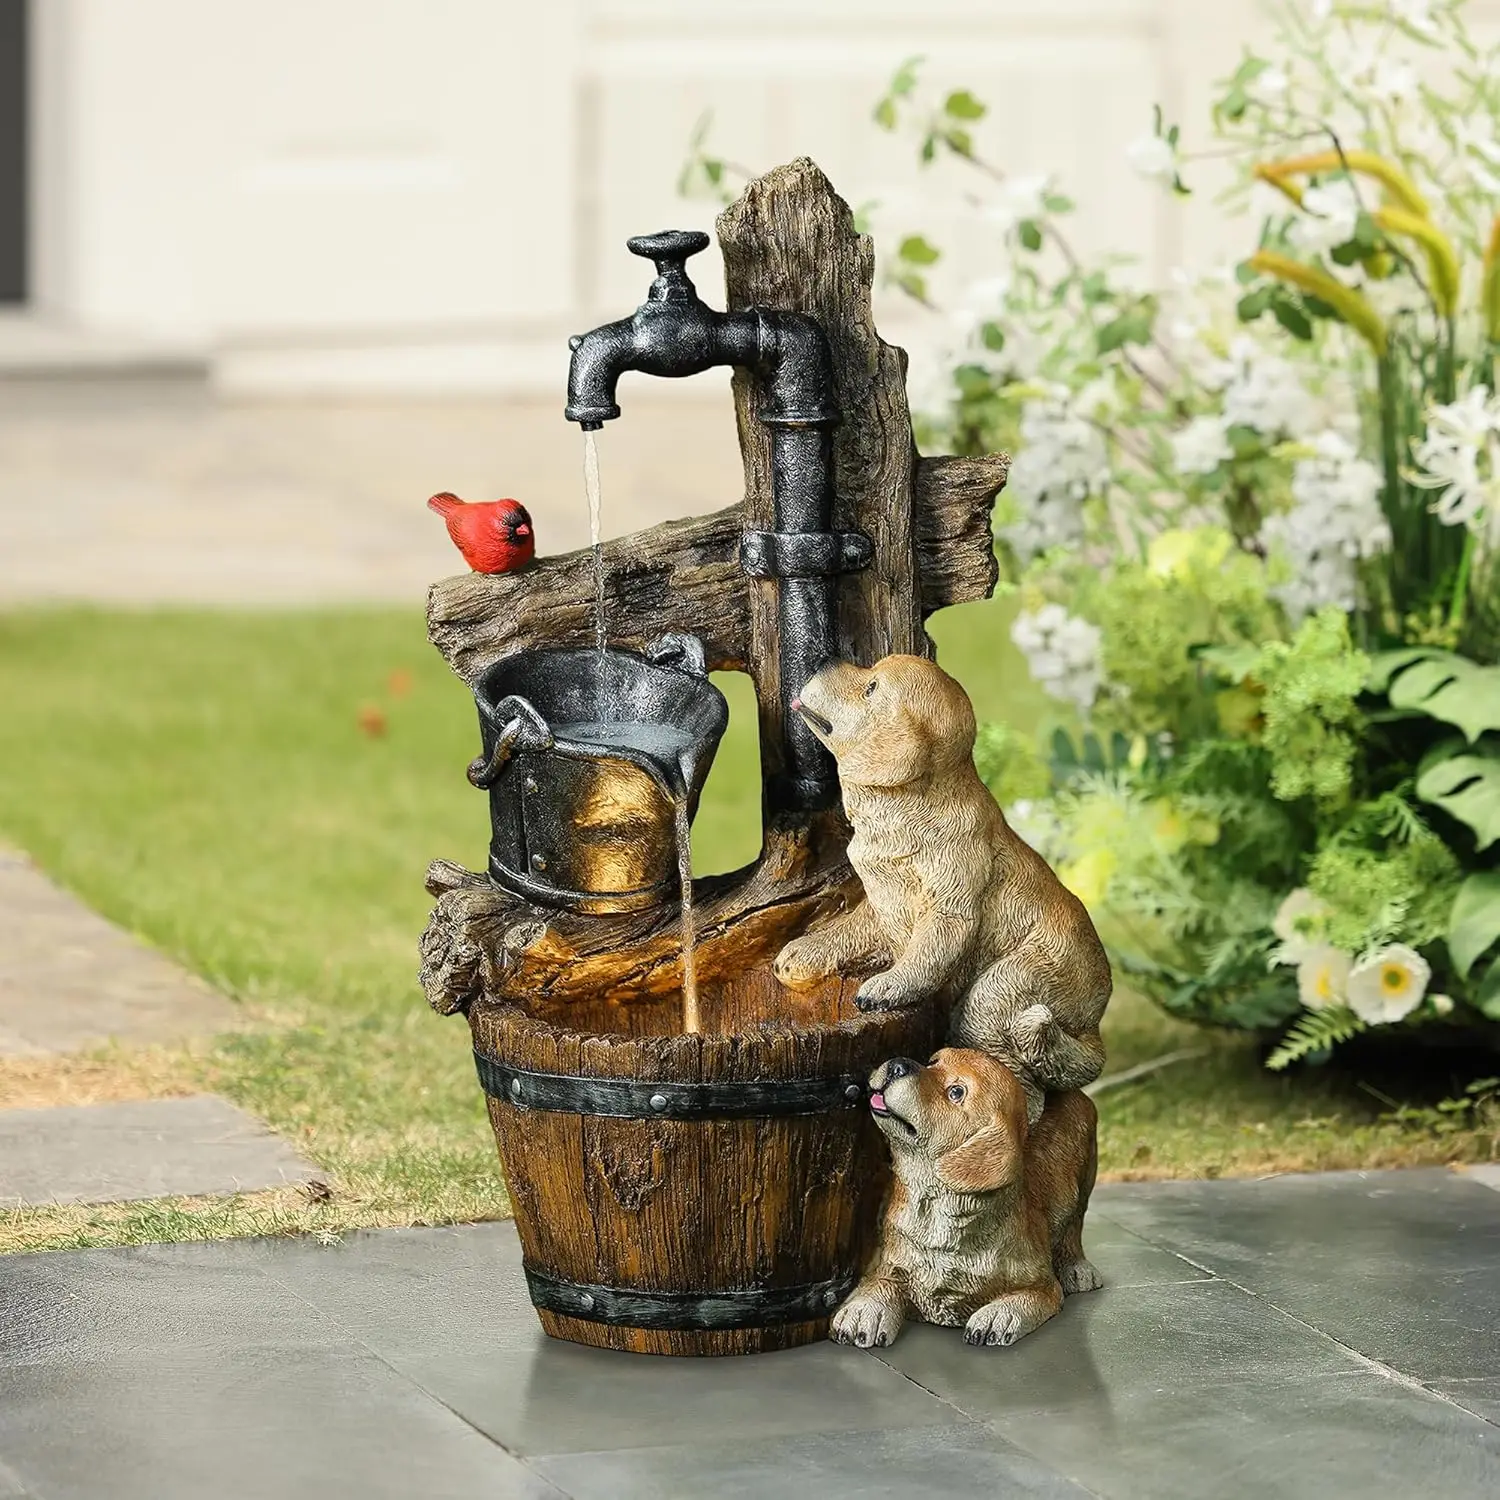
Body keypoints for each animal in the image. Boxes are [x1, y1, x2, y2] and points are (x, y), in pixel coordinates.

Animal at [774, 657, 1116, 1116]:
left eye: (871, 688)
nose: (826, 660)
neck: (902, 806)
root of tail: (1093, 1027)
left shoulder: (950, 896)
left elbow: (933, 946)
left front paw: (888, 986)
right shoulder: (883, 902)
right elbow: (849, 929)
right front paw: (802, 954)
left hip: (1013, 984)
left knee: (1028, 1090)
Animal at [834, 1050, 1104, 1356]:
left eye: (956, 1092)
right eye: (933, 1061)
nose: (897, 1065)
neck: (938, 1209)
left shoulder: (1042, 1285)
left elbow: (1027, 1296)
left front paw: (998, 1317)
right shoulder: (887, 1263)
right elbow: (879, 1283)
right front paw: (862, 1311)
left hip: (1086, 1179)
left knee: (1074, 1227)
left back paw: (1077, 1269)